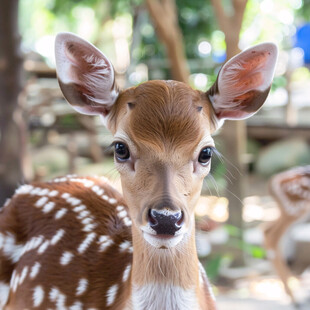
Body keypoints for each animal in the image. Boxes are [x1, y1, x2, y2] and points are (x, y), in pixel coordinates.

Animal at [262, 166, 310, 304]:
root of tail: (273, 181)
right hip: (296, 207)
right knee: (272, 235)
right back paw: (294, 297)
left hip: (290, 209)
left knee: (266, 228)